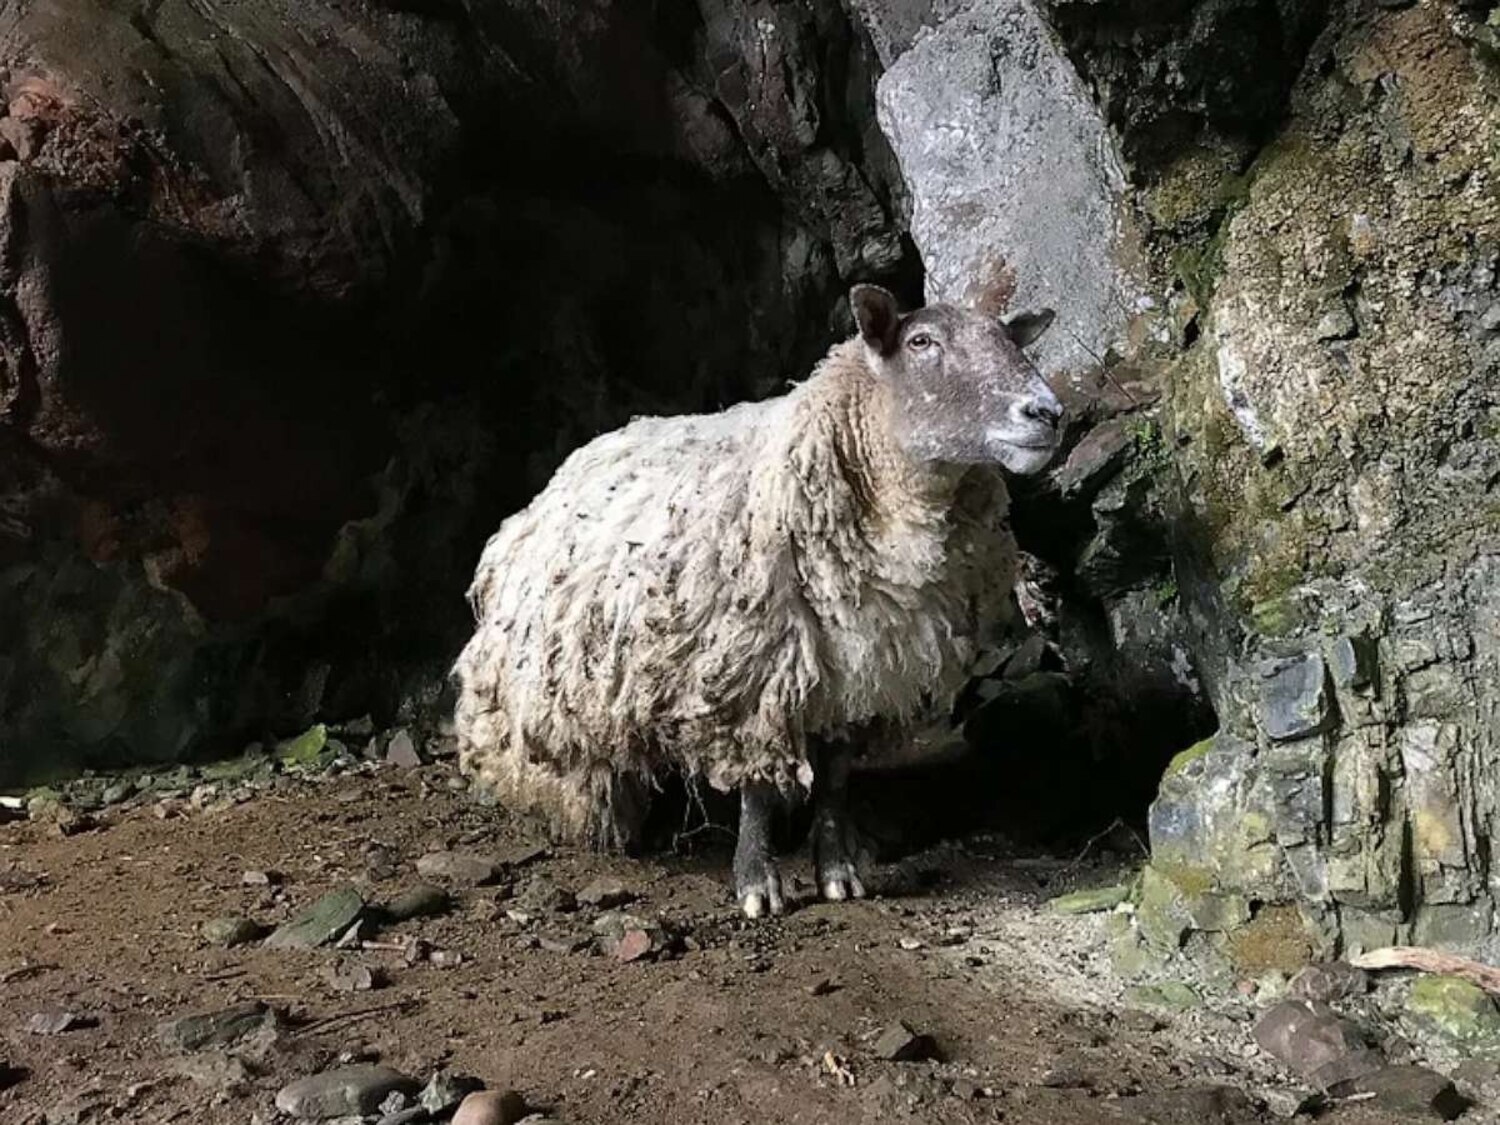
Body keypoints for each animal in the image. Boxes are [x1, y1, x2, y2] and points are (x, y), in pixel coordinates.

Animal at [453, 285, 1064, 917]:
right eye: (922, 341)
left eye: (1008, 338)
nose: (1047, 413)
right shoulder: (753, 670)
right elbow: (759, 791)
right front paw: (757, 883)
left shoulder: (859, 671)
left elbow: (836, 779)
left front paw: (838, 873)